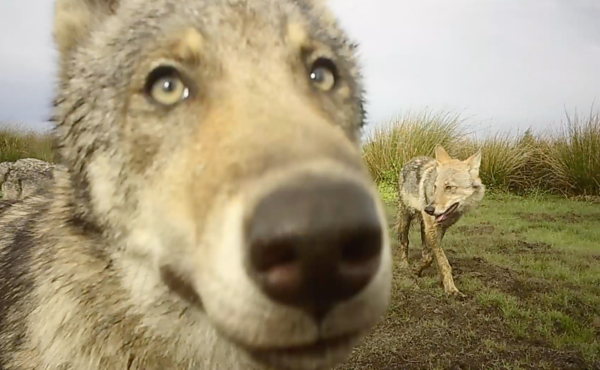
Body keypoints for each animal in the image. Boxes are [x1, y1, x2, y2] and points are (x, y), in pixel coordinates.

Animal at [396, 146, 486, 296]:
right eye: (435, 187)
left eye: (449, 187)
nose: (428, 209)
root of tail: (411, 160)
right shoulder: (432, 228)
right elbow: (442, 261)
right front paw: (451, 289)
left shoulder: (440, 228)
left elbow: (432, 257)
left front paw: (429, 274)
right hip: (405, 219)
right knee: (404, 242)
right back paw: (404, 265)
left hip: (423, 225)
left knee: (424, 249)